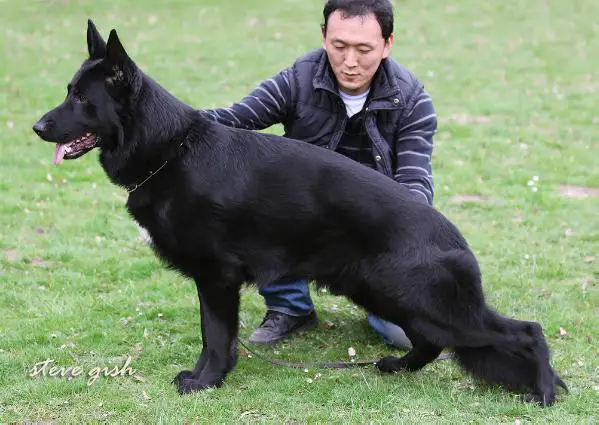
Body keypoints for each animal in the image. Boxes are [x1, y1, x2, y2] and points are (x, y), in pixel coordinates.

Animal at [31, 21, 568, 406]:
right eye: (68, 91)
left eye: (82, 98)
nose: (36, 126)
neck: (170, 150)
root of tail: (454, 238)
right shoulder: (214, 280)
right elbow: (213, 336)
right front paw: (210, 378)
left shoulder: (217, 279)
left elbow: (215, 337)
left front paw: (206, 382)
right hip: (390, 294)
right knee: (431, 343)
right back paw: (397, 368)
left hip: (424, 302)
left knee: (526, 331)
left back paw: (543, 391)